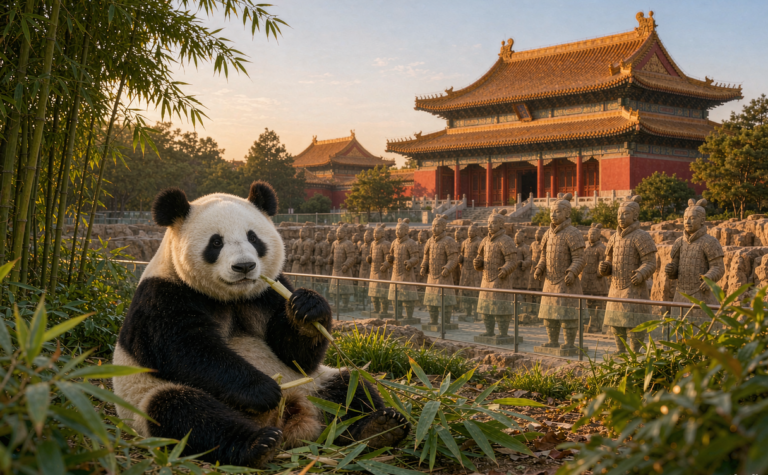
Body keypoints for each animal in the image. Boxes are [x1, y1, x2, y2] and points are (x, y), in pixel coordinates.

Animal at [112, 181, 409, 467]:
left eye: (253, 237)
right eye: (216, 242)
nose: (244, 266)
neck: (231, 297)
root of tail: (292, 419)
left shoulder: (268, 292)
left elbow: (296, 355)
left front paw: (308, 308)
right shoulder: (163, 295)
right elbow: (185, 349)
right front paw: (262, 390)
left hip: (313, 384)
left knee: (349, 387)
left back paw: (379, 427)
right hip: (145, 399)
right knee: (185, 413)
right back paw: (257, 444)